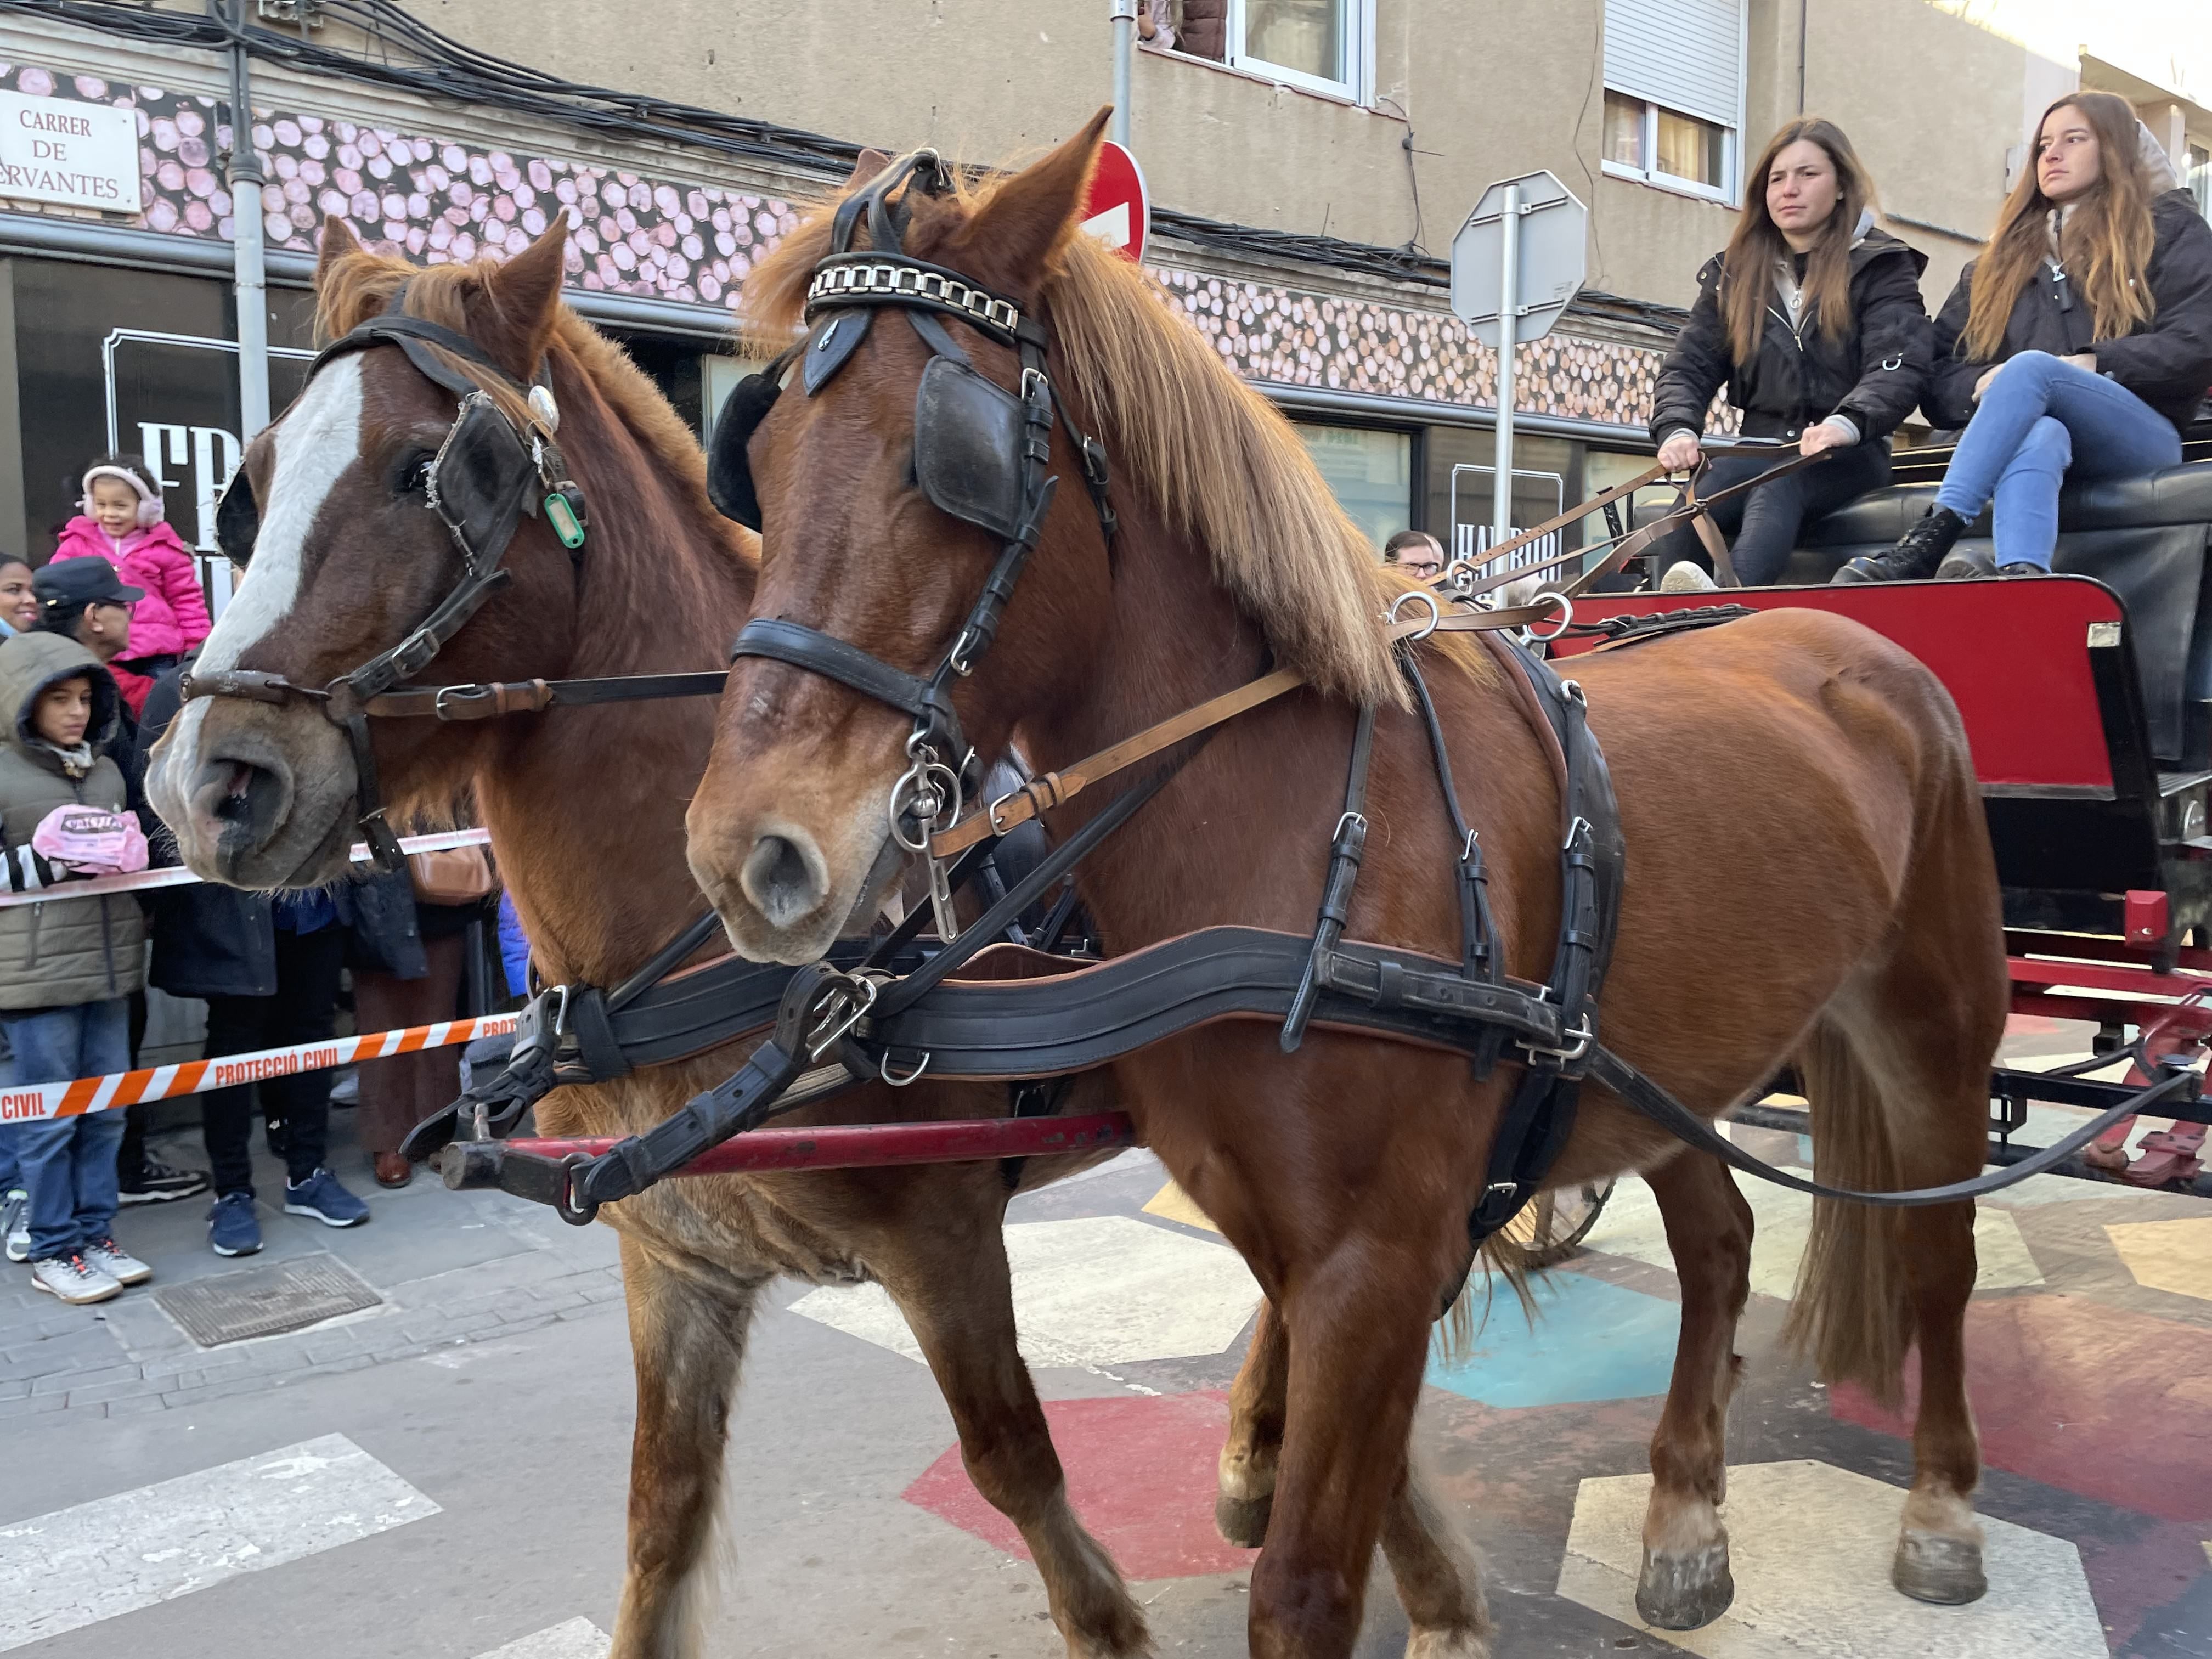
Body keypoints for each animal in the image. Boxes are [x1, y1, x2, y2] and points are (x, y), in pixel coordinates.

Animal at [145, 224, 1159, 1659]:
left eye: (426, 470)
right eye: (256, 481)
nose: (206, 786)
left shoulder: (946, 1233)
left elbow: (1016, 1465)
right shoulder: (676, 1263)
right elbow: (659, 1523)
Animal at [681, 120, 2017, 1659]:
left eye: (946, 455)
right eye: (756, 454)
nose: (750, 854)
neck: (1303, 823)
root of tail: (1848, 636)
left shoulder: (1374, 1263)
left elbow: (1309, 1581)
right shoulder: (1286, 1235)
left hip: (1933, 1027)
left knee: (1941, 1251)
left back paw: (1942, 1501)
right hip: (1672, 1058)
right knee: (1725, 1243)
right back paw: (1685, 1509)